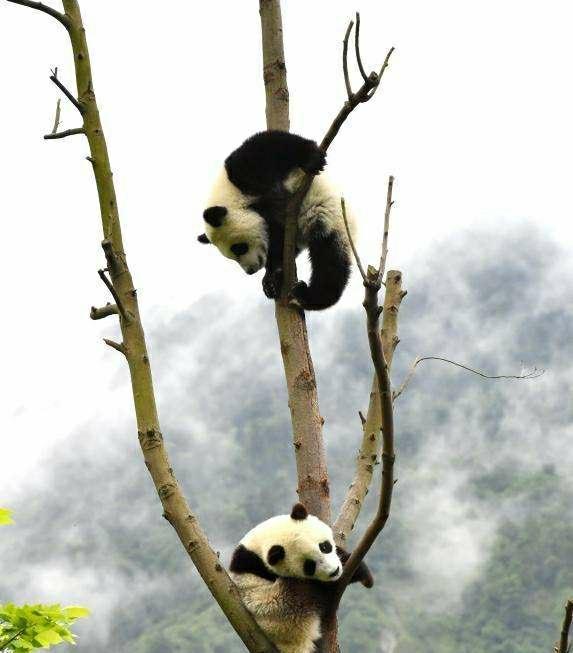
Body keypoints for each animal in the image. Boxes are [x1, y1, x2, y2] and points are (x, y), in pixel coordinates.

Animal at [199, 131, 356, 310]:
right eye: (231, 256)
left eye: (239, 248)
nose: (250, 271)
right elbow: (276, 242)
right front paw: (271, 279)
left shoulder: (242, 173)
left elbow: (273, 145)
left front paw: (312, 157)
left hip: (327, 217)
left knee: (330, 262)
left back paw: (306, 295)